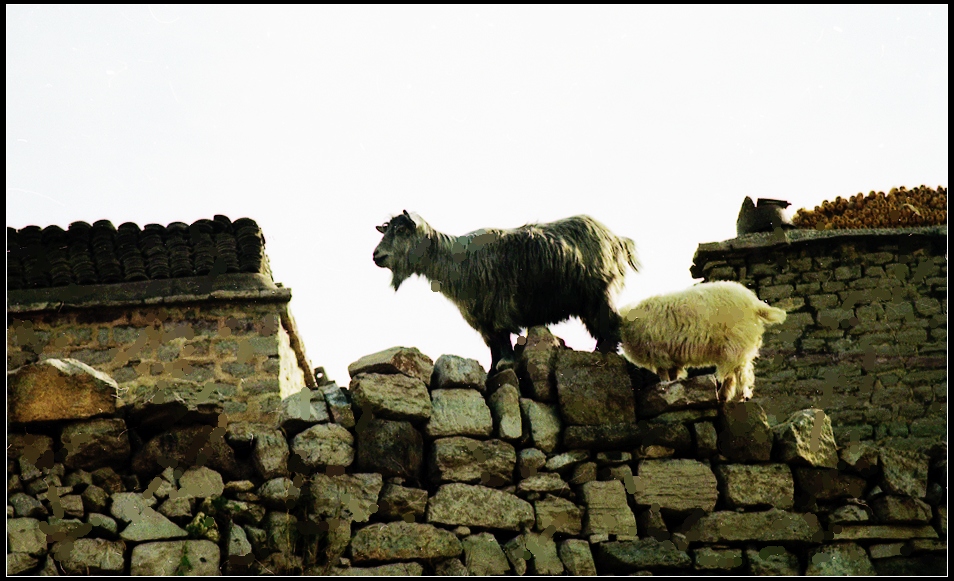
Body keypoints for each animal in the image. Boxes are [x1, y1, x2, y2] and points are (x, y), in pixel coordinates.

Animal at [616, 280, 788, 398]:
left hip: (734, 343)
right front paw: (673, 382)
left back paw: (737, 396)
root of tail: (754, 303)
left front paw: (664, 385)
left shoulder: (658, 353)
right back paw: (726, 396)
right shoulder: (670, 356)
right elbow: (673, 373)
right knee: (735, 372)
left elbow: (664, 374)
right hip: (736, 347)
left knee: (738, 373)